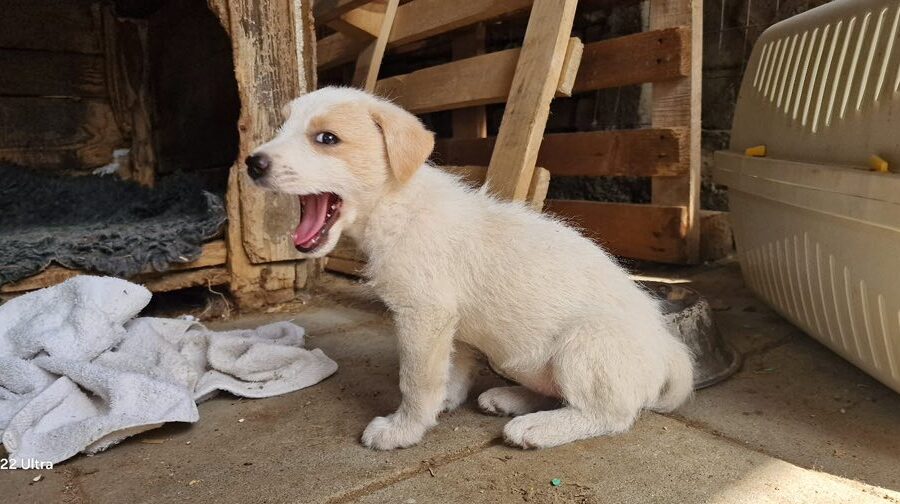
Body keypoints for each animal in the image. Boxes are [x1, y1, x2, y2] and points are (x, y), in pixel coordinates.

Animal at [246, 87, 694, 450]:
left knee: (609, 415)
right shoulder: (451, 321)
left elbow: (417, 380)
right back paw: (511, 400)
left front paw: (404, 429)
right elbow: (449, 369)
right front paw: (444, 401)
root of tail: (668, 348)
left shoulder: (424, 315)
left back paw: (537, 428)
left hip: (586, 344)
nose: (252, 162)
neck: (398, 205)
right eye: (281, 127)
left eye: (327, 138)